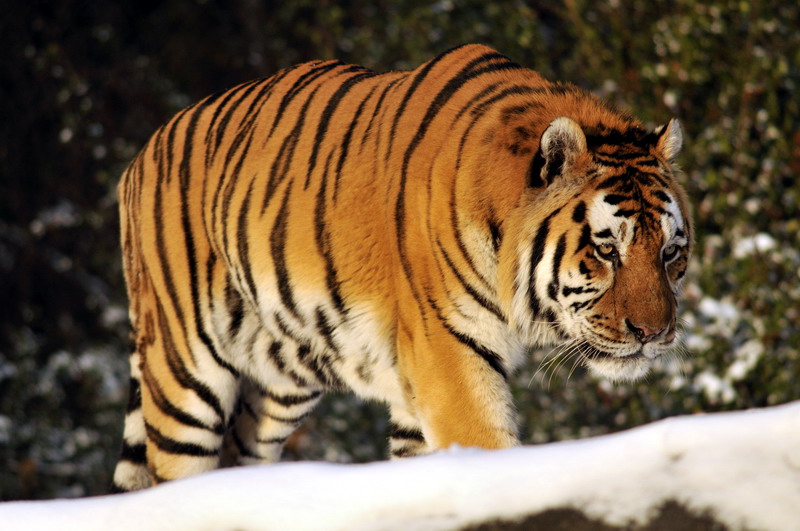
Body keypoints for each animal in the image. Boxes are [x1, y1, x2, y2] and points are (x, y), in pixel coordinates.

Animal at [112, 44, 692, 492]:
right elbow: (487, 446)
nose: (653, 333)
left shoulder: (419, 380)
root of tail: (140, 155)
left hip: (280, 375)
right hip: (183, 370)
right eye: (606, 250)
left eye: (669, 253)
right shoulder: (448, 350)